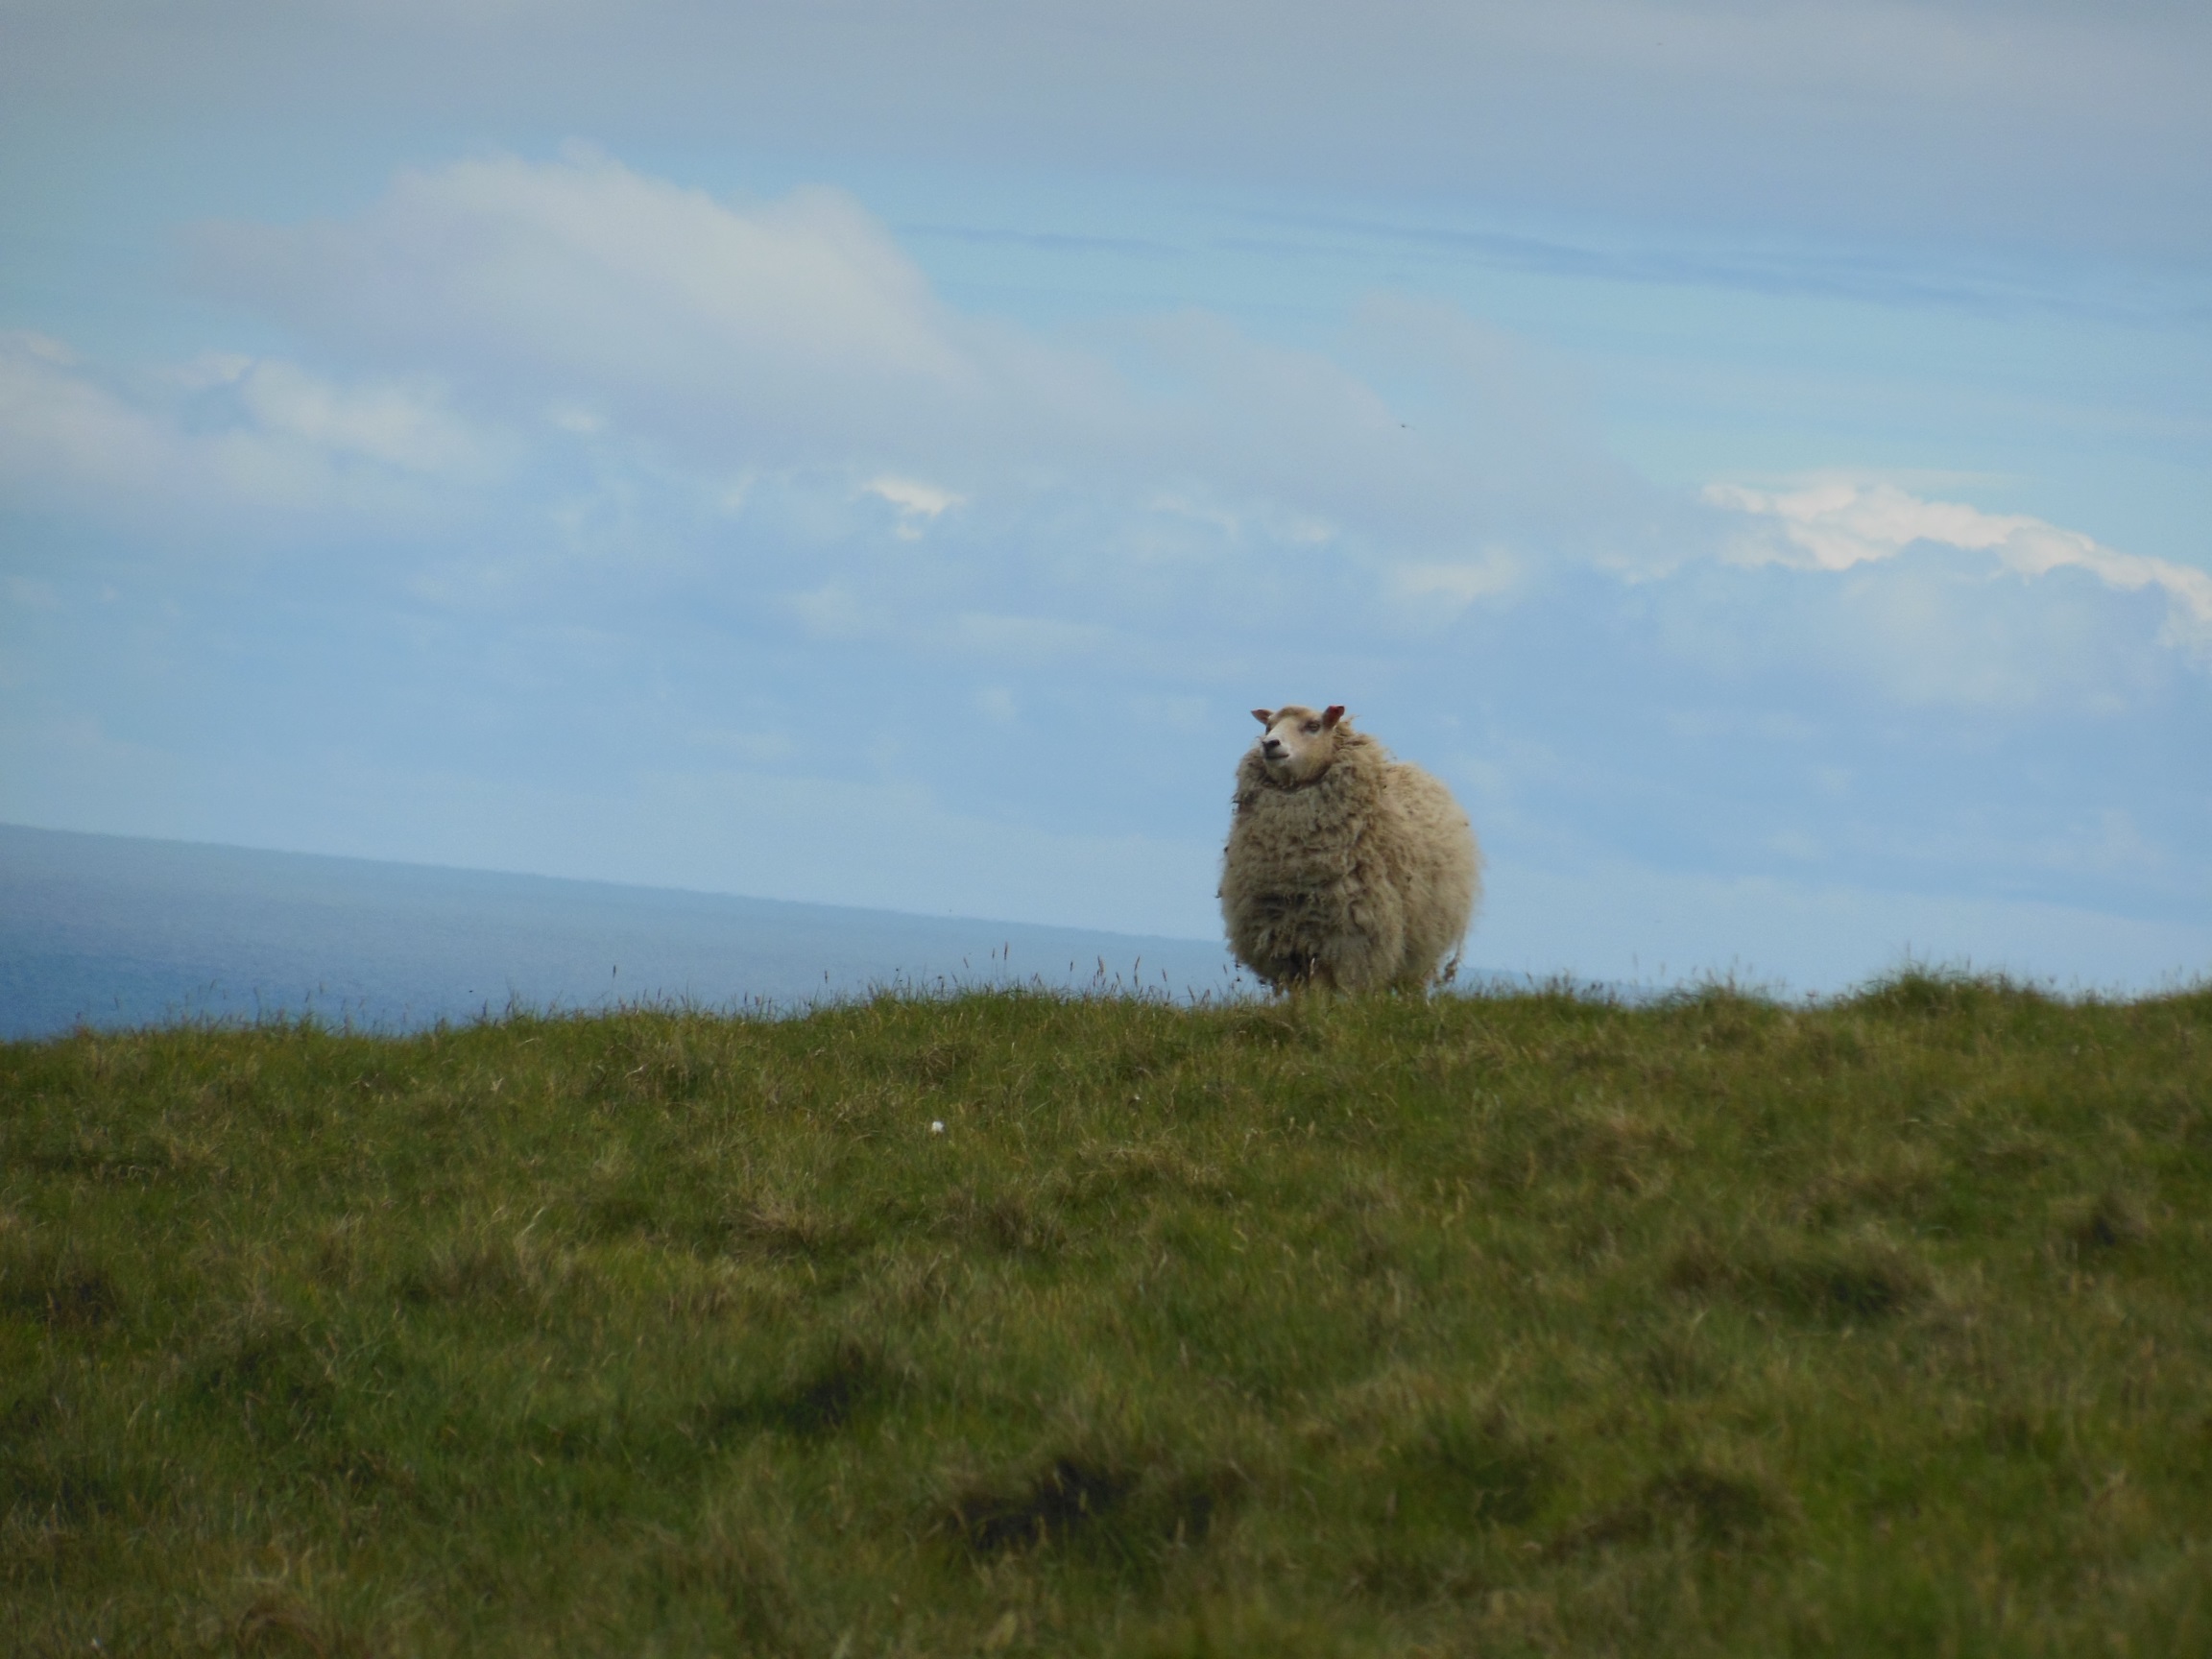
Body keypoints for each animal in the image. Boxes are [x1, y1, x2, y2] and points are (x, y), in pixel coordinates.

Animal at [1220, 703, 1478, 995]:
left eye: (1313, 726)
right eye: (1268, 726)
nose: (1270, 743)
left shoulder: (1350, 938)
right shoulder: (1289, 939)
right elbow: (1304, 995)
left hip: (1422, 941)